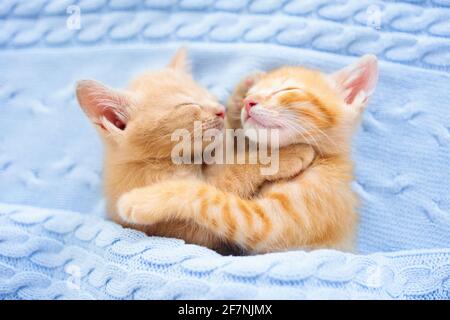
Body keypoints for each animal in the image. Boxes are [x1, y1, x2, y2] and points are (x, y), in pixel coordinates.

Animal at [118, 55, 378, 255]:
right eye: (252, 94)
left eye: (288, 89)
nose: (248, 102)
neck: (322, 159)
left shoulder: (266, 224)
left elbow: (205, 195)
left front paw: (140, 200)